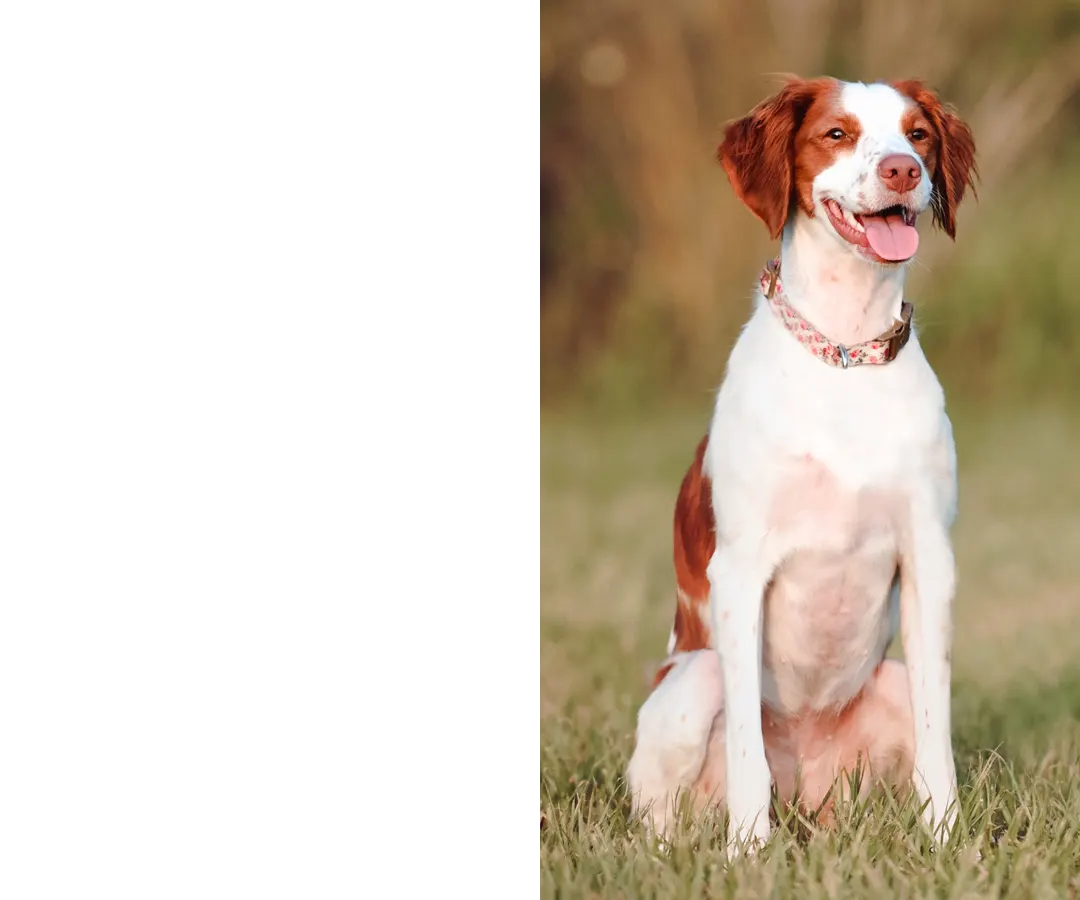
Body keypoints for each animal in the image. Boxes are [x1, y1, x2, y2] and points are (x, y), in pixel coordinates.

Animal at [626, 75, 980, 851]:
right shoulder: (739, 569)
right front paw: (746, 852)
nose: (903, 170)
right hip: (695, 679)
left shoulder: (929, 559)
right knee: (659, 814)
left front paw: (946, 841)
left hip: (883, 687)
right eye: (837, 134)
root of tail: (808, 797)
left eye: (918, 134)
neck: (844, 353)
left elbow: (939, 737)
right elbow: (746, 756)